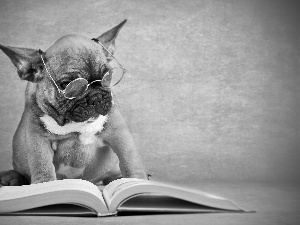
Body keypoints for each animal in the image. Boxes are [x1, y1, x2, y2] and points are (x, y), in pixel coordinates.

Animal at [0, 19, 146, 185]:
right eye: (67, 85)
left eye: (108, 76)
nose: (96, 96)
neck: (74, 125)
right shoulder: (38, 138)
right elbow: (42, 164)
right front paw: (44, 184)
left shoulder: (119, 132)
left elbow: (130, 159)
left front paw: (136, 181)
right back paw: (11, 178)